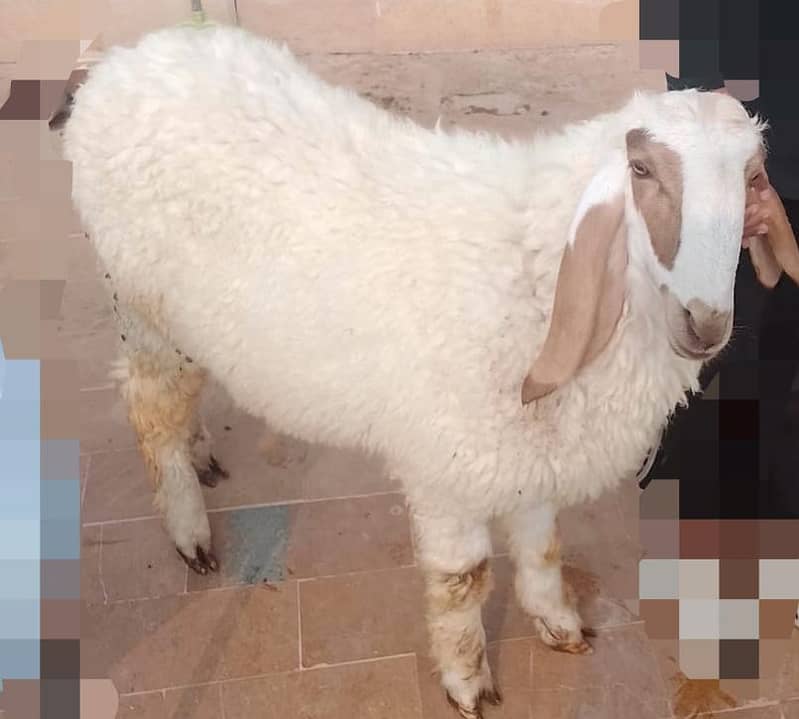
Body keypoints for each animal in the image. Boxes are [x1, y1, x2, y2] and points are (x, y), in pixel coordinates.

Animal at [59, 23, 786, 718]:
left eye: (752, 178)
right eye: (641, 169)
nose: (704, 324)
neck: (530, 270)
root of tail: (121, 64)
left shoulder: (528, 443)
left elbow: (541, 541)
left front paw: (555, 620)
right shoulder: (449, 467)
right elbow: (463, 581)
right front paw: (467, 681)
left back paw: (201, 450)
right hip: (143, 308)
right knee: (151, 409)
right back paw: (189, 530)